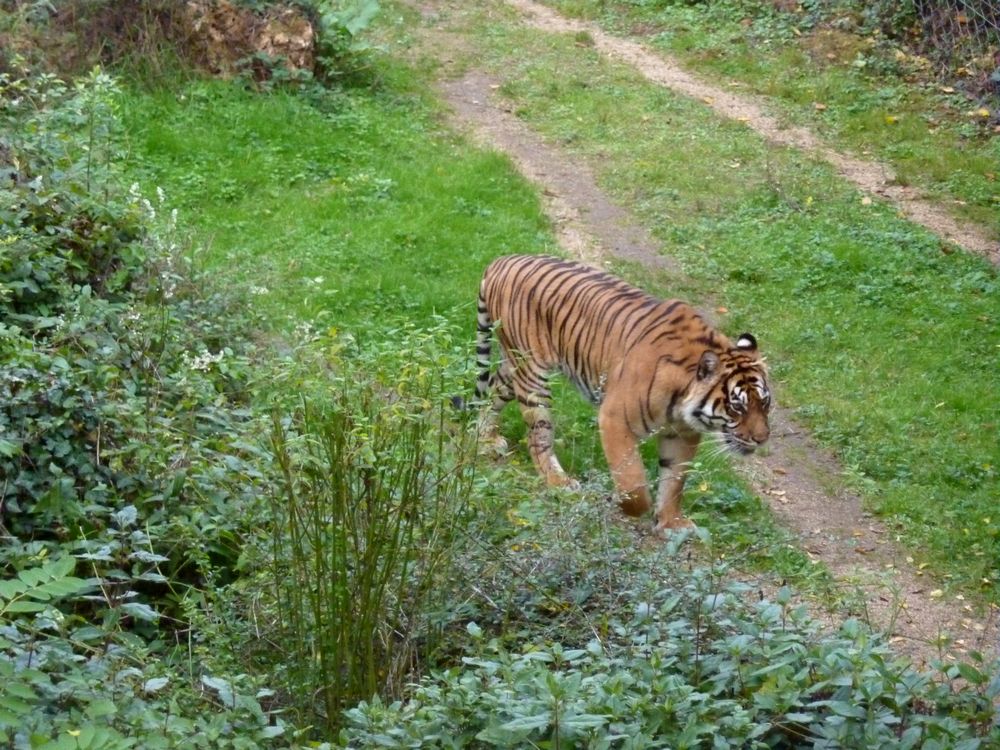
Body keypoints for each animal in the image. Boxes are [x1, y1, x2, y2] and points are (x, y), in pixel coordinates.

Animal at [468, 258, 772, 536]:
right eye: (737, 407)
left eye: (765, 403)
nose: (761, 439)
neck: (681, 400)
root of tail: (502, 260)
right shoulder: (614, 419)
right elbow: (633, 482)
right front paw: (627, 505)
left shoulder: (682, 433)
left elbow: (674, 481)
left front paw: (671, 523)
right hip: (532, 374)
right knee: (538, 436)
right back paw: (558, 482)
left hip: (514, 365)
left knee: (494, 388)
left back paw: (485, 437)